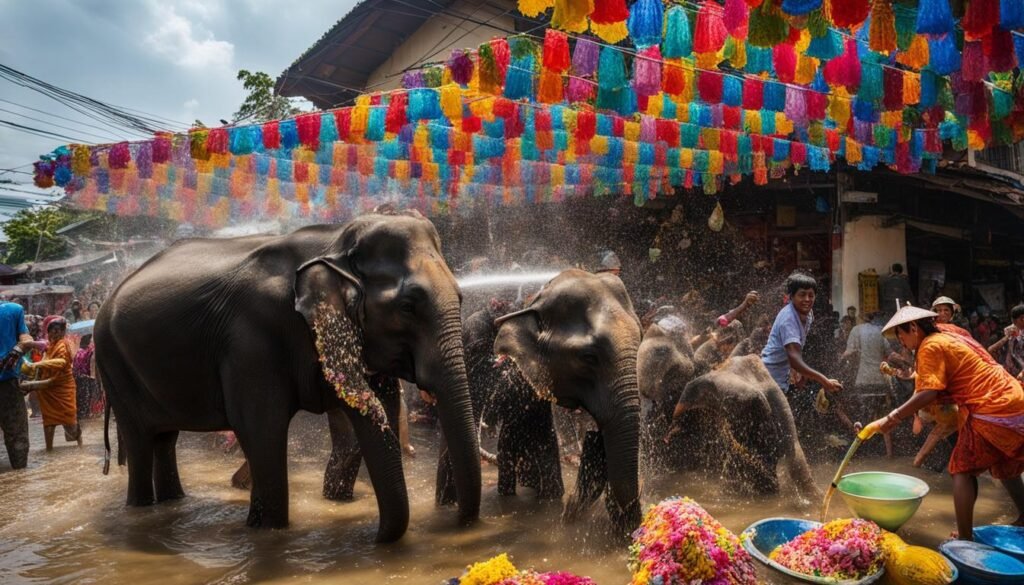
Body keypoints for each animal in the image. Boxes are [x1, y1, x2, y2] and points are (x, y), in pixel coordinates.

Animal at [96, 212, 479, 545]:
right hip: (113, 364)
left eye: (461, 297)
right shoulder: (251, 341)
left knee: (165, 439)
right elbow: (261, 429)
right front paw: (267, 530)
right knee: (140, 440)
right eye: (408, 306)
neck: (335, 242)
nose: (456, 523)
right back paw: (141, 508)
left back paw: (173, 502)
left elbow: (372, 411)